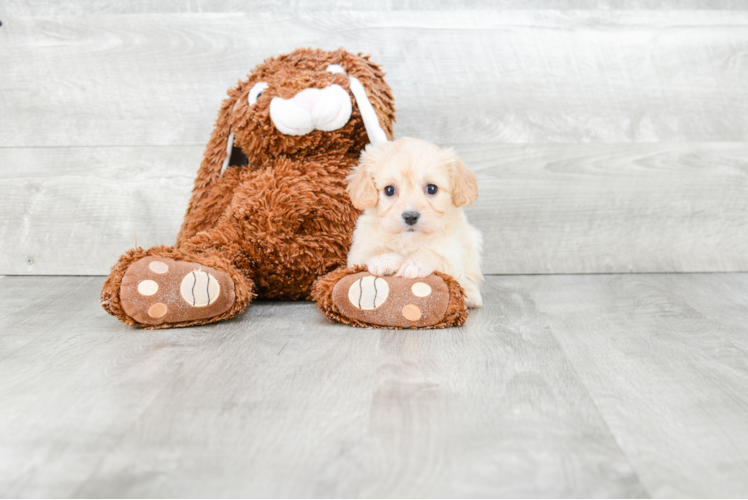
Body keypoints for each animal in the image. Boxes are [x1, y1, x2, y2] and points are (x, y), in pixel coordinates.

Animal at [346, 138, 486, 308]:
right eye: (389, 190)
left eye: (432, 188)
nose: (410, 217)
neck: (409, 238)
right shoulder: (357, 253)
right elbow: (372, 253)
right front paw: (386, 260)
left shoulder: (453, 260)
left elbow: (433, 254)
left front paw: (414, 263)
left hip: (472, 241)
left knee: (472, 276)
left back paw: (471, 296)